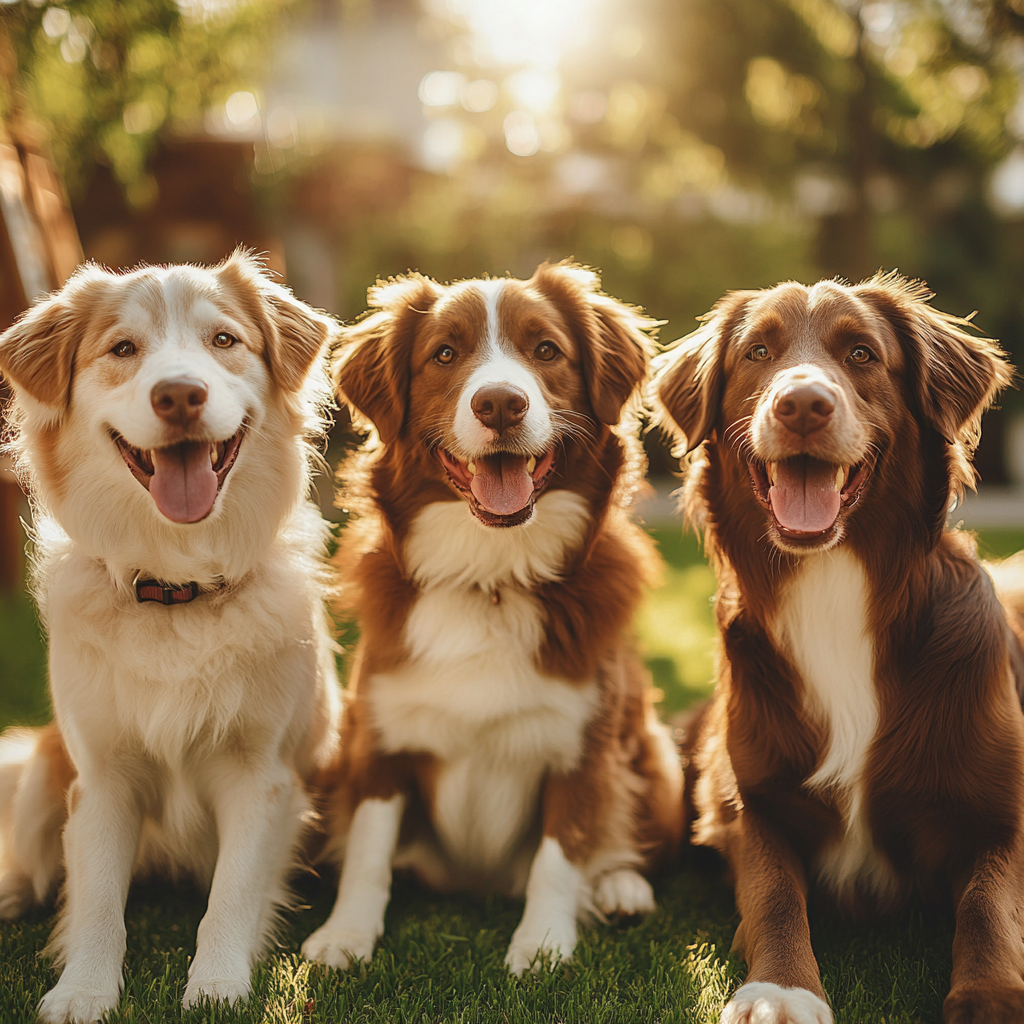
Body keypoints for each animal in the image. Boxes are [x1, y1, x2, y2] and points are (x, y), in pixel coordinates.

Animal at [0, 249, 344, 1024]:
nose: (180, 395)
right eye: (124, 350)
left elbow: (233, 893)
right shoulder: (101, 776)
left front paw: (217, 986)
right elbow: (98, 896)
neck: (177, 589)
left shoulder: (261, 773)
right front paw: (84, 991)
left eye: (224, 341)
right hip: (40, 772)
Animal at [651, 274, 1024, 1024]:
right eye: (758, 352)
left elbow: (986, 906)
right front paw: (781, 991)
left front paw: (991, 996)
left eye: (861, 354)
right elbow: (773, 893)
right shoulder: (748, 802)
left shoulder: (1004, 819)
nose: (801, 404)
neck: (833, 584)